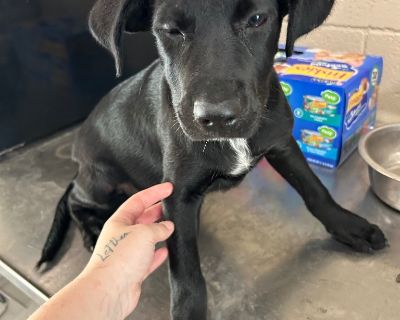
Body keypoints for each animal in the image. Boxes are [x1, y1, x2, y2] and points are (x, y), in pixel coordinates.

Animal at [39, 0, 386, 318]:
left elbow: (315, 190)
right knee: (75, 199)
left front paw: (349, 226)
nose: (217, 117)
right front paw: (189, 311)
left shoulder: (282, 143)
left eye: (257, 19)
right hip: (102, 180)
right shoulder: (176, 194)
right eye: (170, 30)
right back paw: (92, 231)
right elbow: (186, 273)